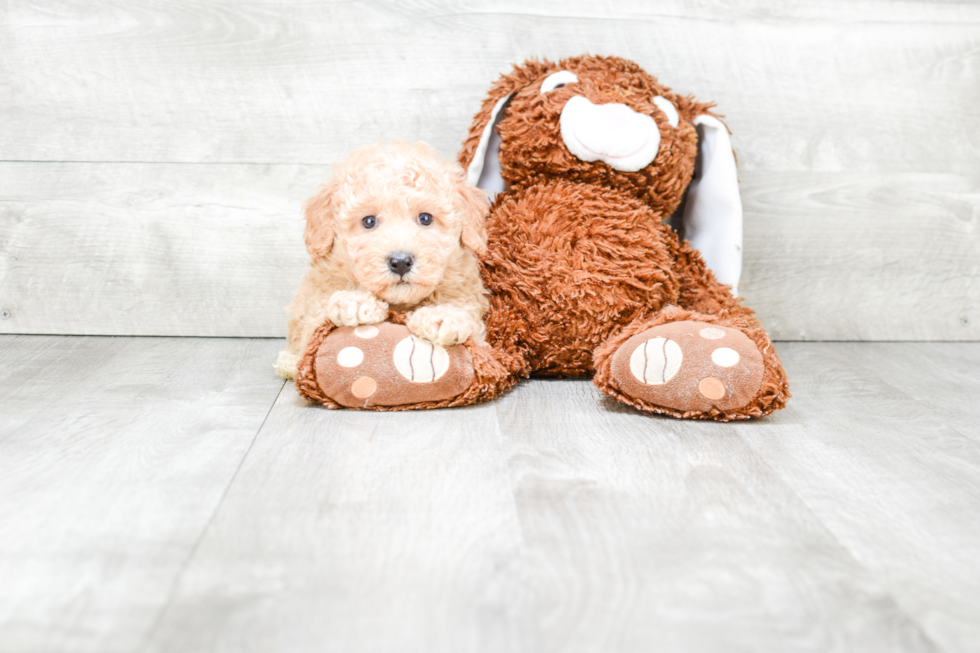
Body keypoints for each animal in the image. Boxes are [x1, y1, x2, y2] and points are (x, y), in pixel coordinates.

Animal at [276, 140, 490, 380]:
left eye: (425, 218)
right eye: (369, 221)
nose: (400, 262)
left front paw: (442, 316)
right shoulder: (317, 299)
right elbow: (316, 322)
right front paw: (355, 301)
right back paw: (288, 362)